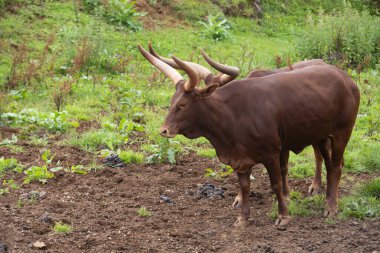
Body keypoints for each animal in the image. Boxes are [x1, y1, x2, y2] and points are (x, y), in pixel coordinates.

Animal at [140, 44, 360, 227]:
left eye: (183, 105)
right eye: (172, 101)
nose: (164, 130)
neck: (231, 115)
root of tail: (345, 78)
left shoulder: (272, 153)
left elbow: (276, 184)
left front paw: (283, 215)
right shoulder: (240, 158)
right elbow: (245, 187)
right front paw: (243, 218)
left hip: (342, 132)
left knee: (336, 166)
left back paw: (331, 207)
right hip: (321, 134)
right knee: (328, 164)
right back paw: (328, 198)